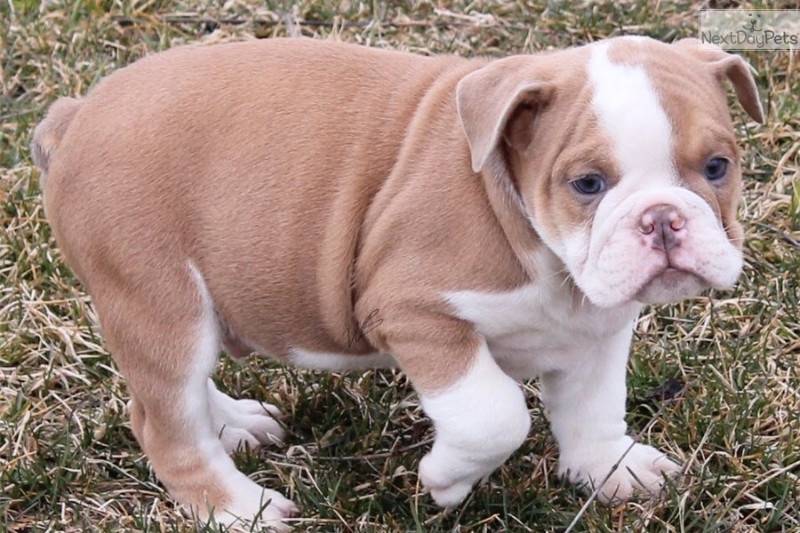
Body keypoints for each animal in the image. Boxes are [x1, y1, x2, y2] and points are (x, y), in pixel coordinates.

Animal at [32, 34, 764, 528]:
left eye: (718, 166)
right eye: (587, 183)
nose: (663, 218)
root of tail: (76, 116)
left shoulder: (600, 326)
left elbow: (593, 405)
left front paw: (610, 467)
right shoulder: (418, 312)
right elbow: (495, 413)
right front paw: (446, 480)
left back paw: (234, 422)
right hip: (160, 300)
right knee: (162, 420)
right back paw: (239, 507)